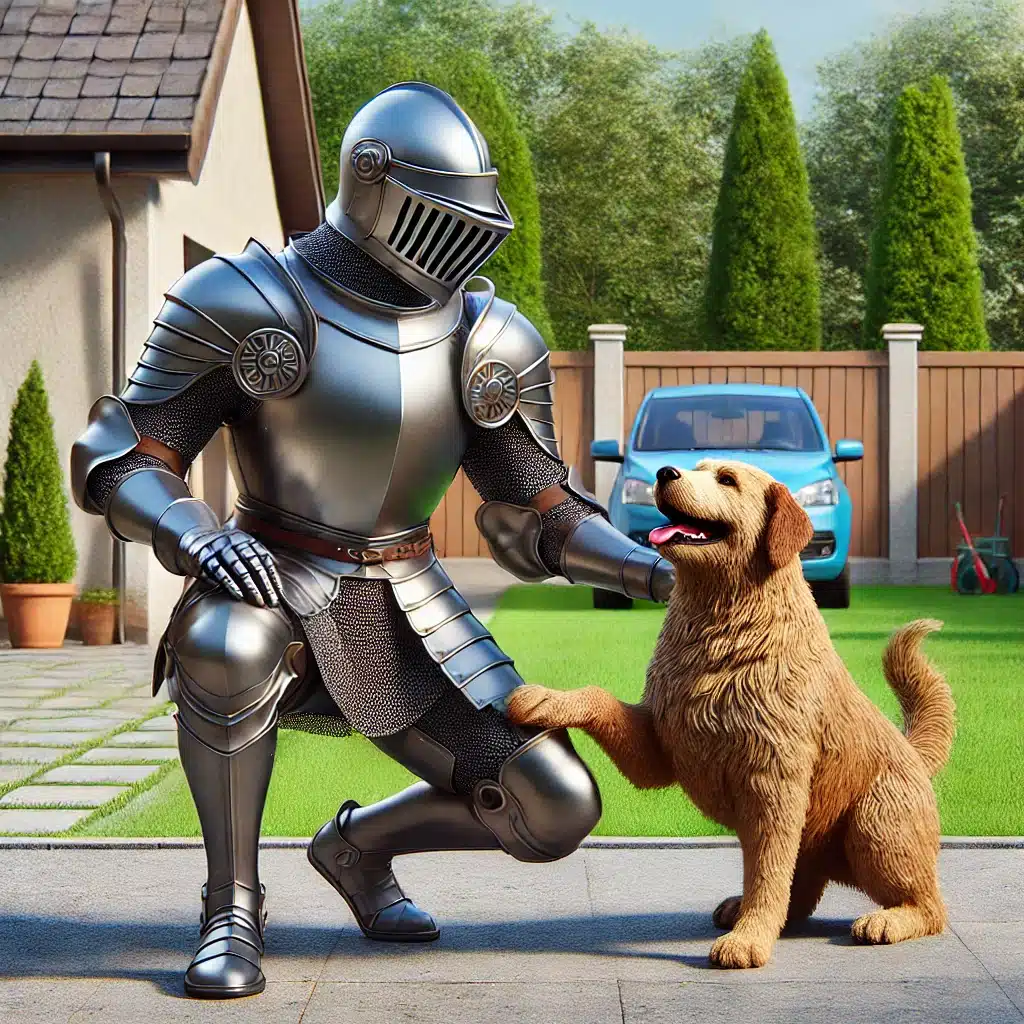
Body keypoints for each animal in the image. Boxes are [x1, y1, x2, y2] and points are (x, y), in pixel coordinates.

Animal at [507, 462, 954, 966]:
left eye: (726, 479)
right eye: (694, 467)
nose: (665, 470)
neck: (722, 634)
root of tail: (914, 753)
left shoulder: (773, 786)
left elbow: (766, 872)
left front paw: (749, 939)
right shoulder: (661, 748)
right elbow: (598, 696)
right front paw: (543, 699)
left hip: (875, 825)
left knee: (928, 904)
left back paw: (885, 921)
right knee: (802, 893)